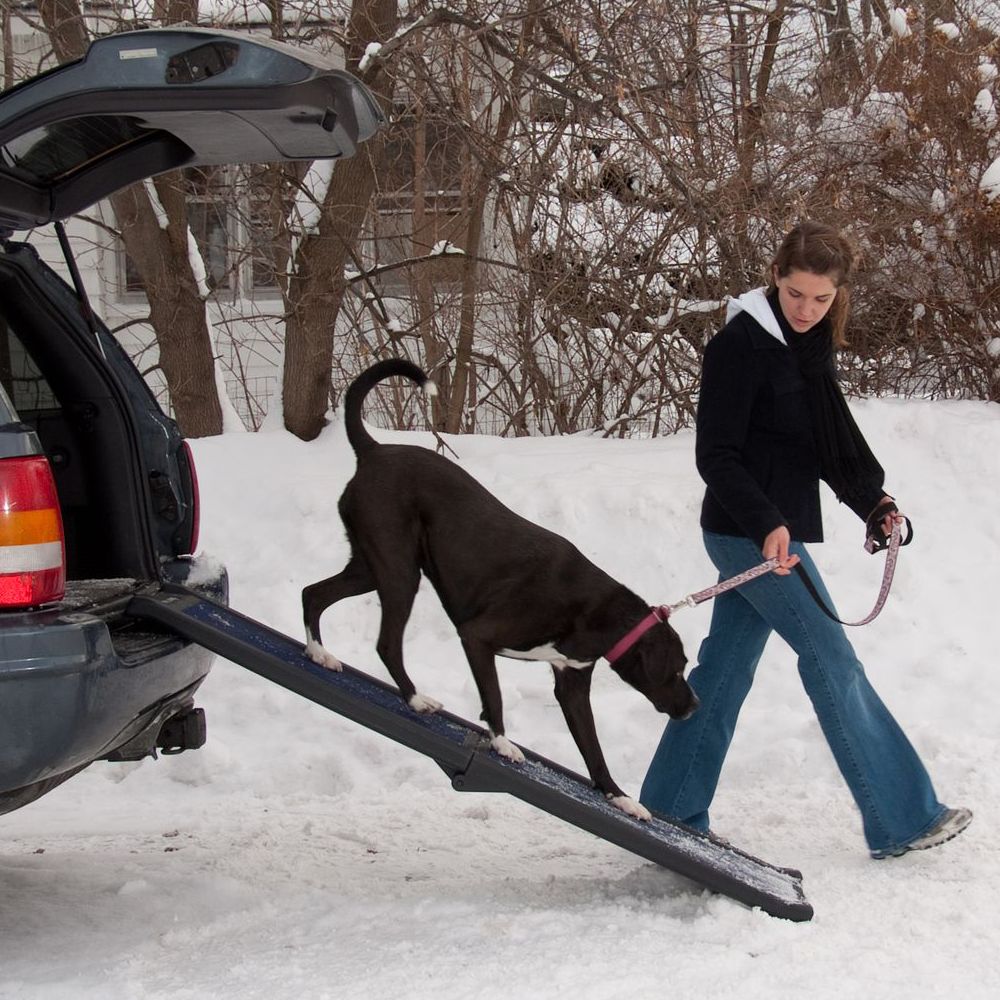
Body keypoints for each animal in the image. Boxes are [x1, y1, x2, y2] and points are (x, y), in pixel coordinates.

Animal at [300, 360, 700, 820]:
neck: (598, 612)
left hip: (370, 567)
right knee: (385, 643)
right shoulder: (478, 637)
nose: (694, 706)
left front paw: (619, 796)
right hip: (399, 571)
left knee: (312, 593)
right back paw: (415, 699)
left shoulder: (572, 683)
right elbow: (494, 696)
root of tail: (374, 451)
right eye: (677, 669)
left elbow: (593, 749)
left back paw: (320, 653)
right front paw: (502, 742)